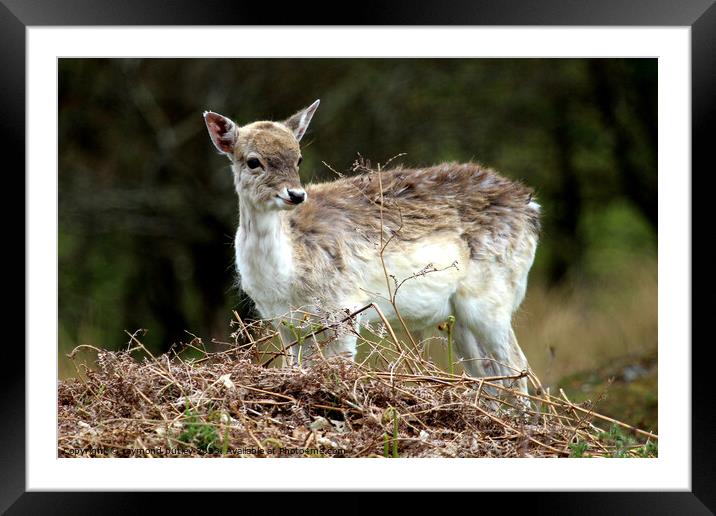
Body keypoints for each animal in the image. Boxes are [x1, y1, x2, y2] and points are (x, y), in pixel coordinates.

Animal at [204, 99, 540, 394]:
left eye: (298, 158)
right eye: (253, 161)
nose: (296, 195)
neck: (286, 277)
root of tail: (531, 207)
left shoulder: (343, 309)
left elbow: (341, 368)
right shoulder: (282, 322)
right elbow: (293, 368)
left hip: (492, 298)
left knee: (517, 365)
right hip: (461, 316)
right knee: (487, 372)